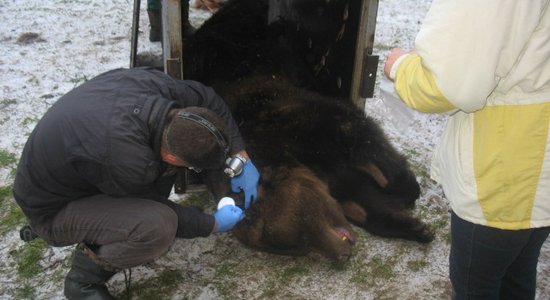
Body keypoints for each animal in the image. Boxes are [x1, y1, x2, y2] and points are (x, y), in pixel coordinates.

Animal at [188, 0, 438, 262]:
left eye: (302, 231)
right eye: (296, 247)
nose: (342, 256)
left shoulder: (295, 120)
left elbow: (362, 139)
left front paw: (406, 188)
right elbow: (357, 200)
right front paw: (412, 226)